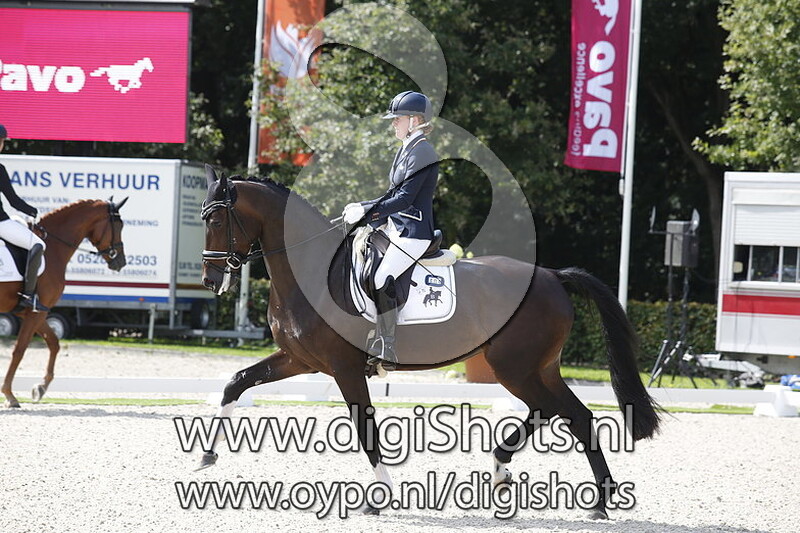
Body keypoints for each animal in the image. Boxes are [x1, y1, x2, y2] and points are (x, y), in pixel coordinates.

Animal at [1, 198, 127, 408]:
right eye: (118, 226)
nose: (121, 262)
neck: (53, 246)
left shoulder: (34, 312)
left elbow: (54, 343)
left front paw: (40, 388)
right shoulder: (37, 311)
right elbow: (20, 349)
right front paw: (10, 395)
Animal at [199, 166, 661, 519]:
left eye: (217, 222)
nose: (210, 280)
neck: (310, 270)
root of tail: (551, 275)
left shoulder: (344, 368)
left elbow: (366, 429)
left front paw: (380, 497)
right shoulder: (299, 359)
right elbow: (236, 382)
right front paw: (207, 457)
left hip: (514, 367)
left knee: (555, 411)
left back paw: (540, 479)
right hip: (538, 367)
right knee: (573, 415)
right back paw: (572, 491)